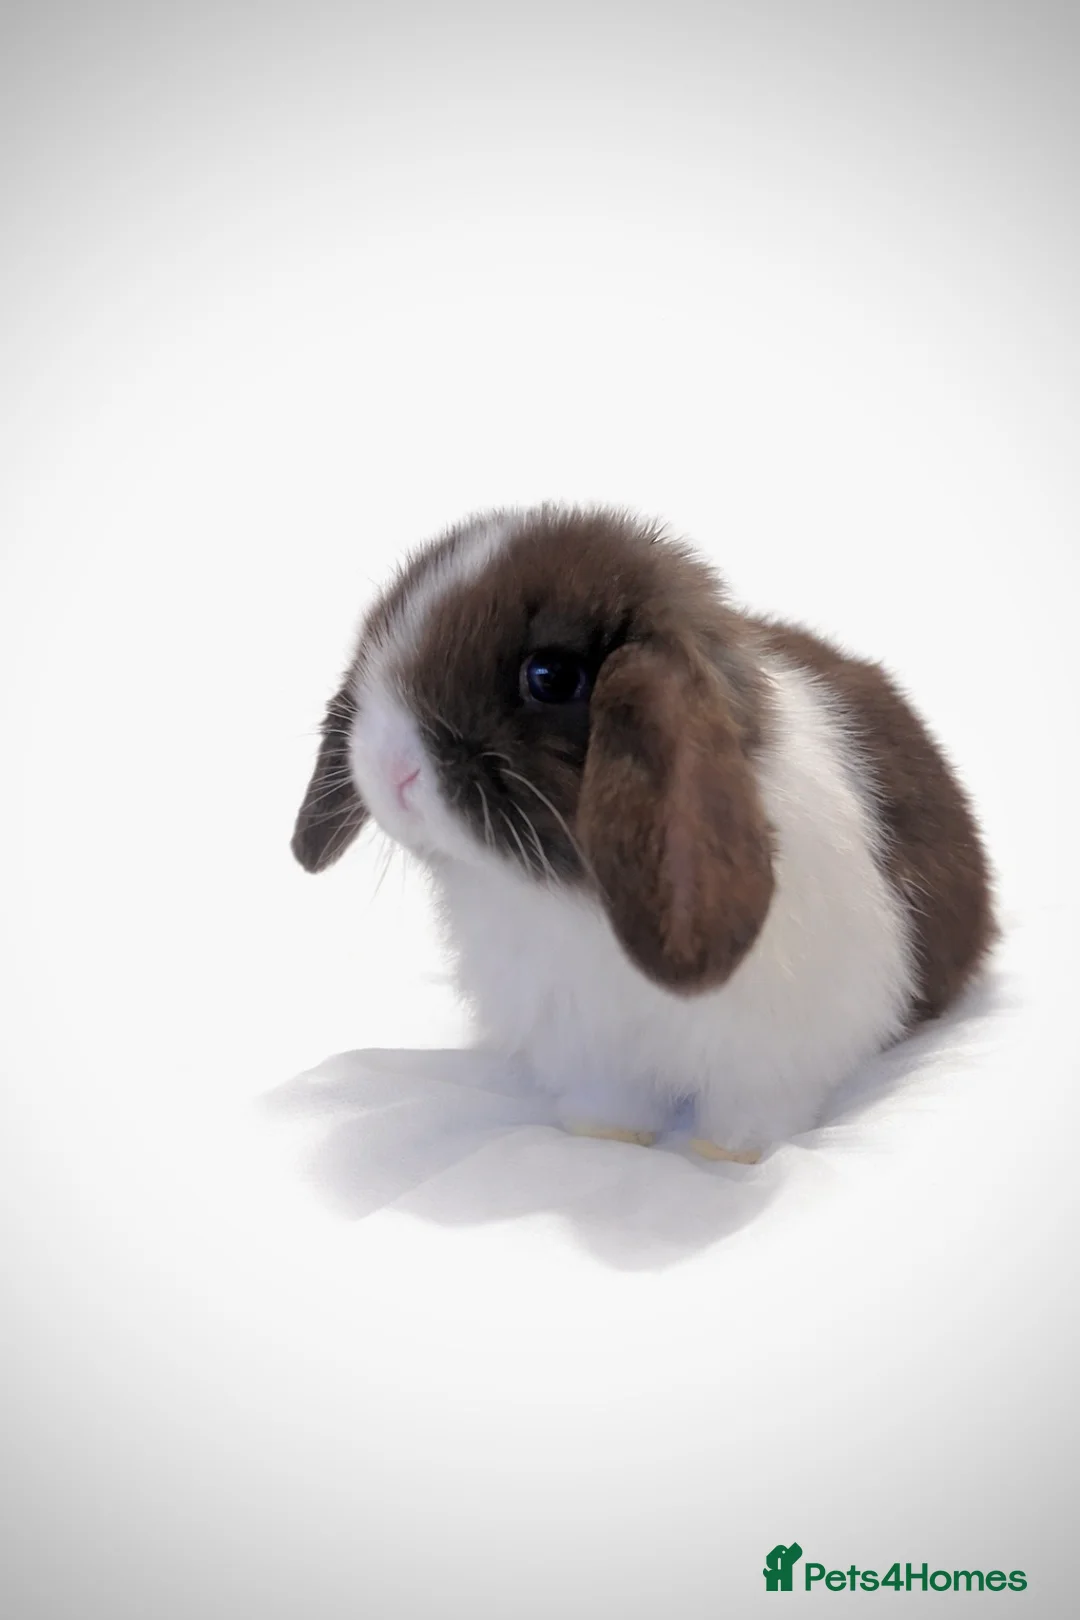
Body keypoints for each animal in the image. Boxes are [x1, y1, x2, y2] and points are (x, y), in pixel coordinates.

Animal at [291, 506, 996, 1162]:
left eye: (550, 677)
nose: (389, 767)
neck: (567, 902)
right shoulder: (588, 1043)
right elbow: (612, 1100)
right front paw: (604, 1138)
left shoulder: (773, 1052)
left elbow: (753, 1108)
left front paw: (725, 1155)